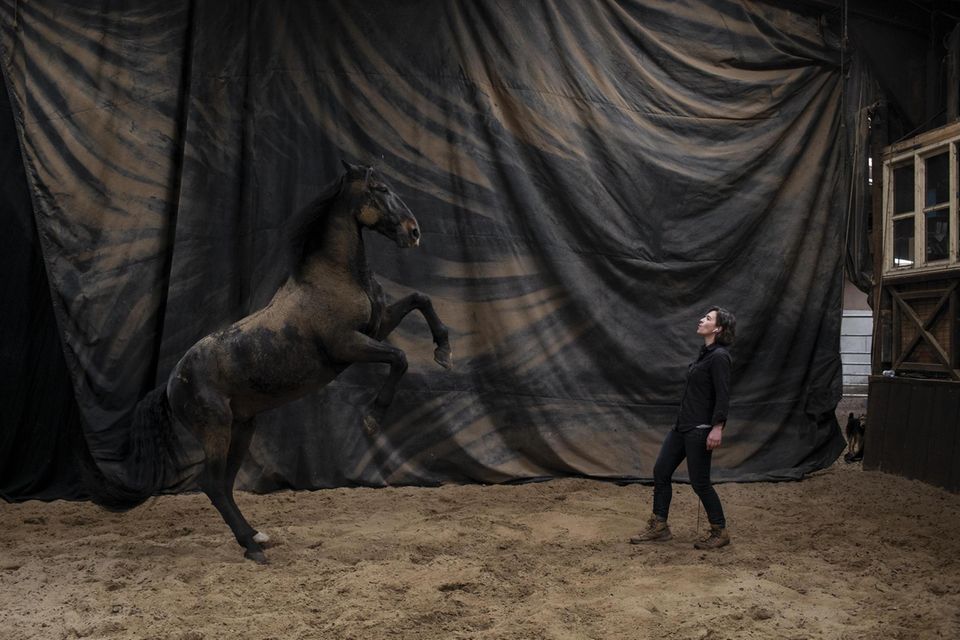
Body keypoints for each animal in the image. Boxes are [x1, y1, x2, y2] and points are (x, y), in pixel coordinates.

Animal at [84, 161, 452, 564]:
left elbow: (420, 299)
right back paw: (253, 547)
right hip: (215, 429)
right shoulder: (347, 345)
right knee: (212, 485)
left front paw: (444, 351)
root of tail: (169, 385)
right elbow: (399, 359)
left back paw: (257, 537)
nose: (414, 232)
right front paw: (372, 419)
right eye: (380, 189)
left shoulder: (378, 325)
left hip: (243, 428)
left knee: (226, 484)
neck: (334, 278)